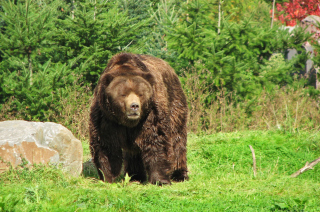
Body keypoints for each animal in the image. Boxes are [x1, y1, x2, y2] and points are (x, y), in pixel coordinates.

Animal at [89, 52, 189, 185]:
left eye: (140, 94)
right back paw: (135, 176)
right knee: (133, 152)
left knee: (177, 137)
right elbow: (105, 146)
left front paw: (160, 180)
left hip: (174, 99)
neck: (127, 122)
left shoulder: (151, 113)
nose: (134, 106)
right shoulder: (105, 117)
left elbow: (156, 140)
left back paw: (180, 174)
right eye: (123, 94)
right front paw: (107, 177)